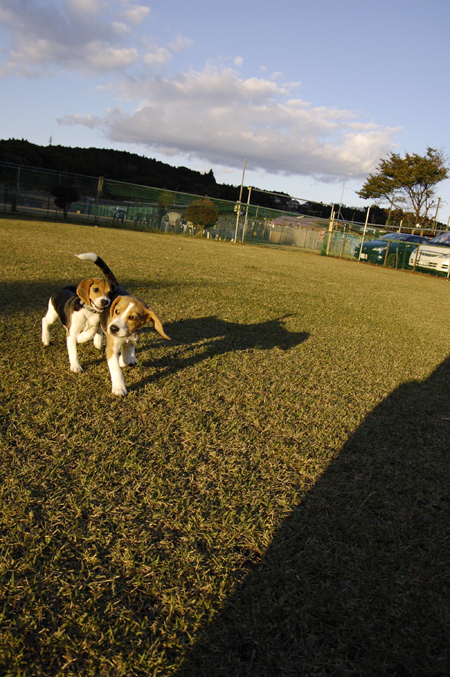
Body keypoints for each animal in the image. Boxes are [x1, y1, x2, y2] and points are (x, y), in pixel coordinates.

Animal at [76, 251, 170, 394]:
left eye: (132, 317)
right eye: (116, 311)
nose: (113, 328)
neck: (126, 335)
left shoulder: (131, 341)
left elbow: (125, 358)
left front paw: (124, 360)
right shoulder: (111, 347)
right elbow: (116, 368)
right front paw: (119, 388)